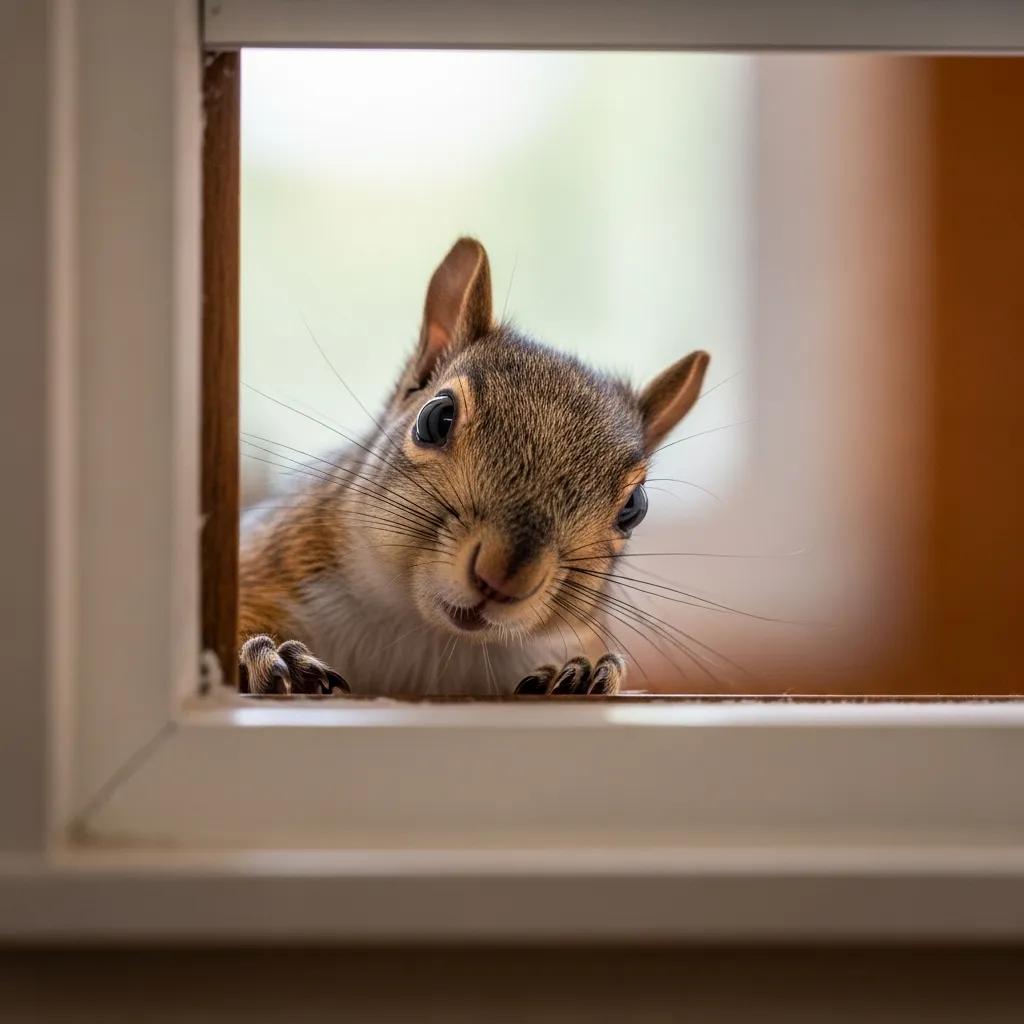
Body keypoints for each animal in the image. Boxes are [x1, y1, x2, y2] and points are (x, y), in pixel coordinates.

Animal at [238, 237, 709, 697]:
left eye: (634, 507)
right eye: (435, 419)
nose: (503, 577)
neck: (428, 635)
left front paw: (576, 674)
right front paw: (268, 656)